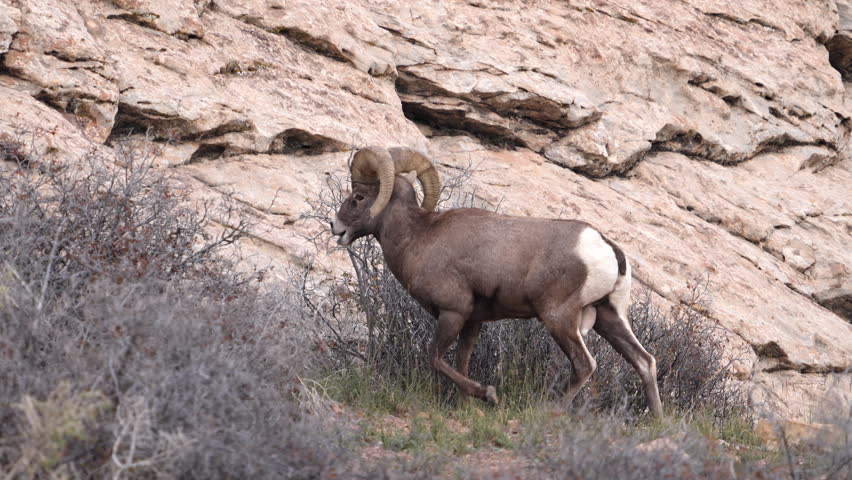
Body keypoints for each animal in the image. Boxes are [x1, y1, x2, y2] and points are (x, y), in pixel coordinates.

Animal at [330, 146, 663, 416]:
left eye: (358, 197)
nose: (336, 227)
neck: (418, 237)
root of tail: (605, 246)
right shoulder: (472, 322)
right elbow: (460, 362)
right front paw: (464, 406)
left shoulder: (453, 313)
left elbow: (435, 357)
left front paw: (488, 395)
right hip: (610, 316)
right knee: (644, 361)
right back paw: (657, 420)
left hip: (559, 317)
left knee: (585, 364)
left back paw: (549, 410)